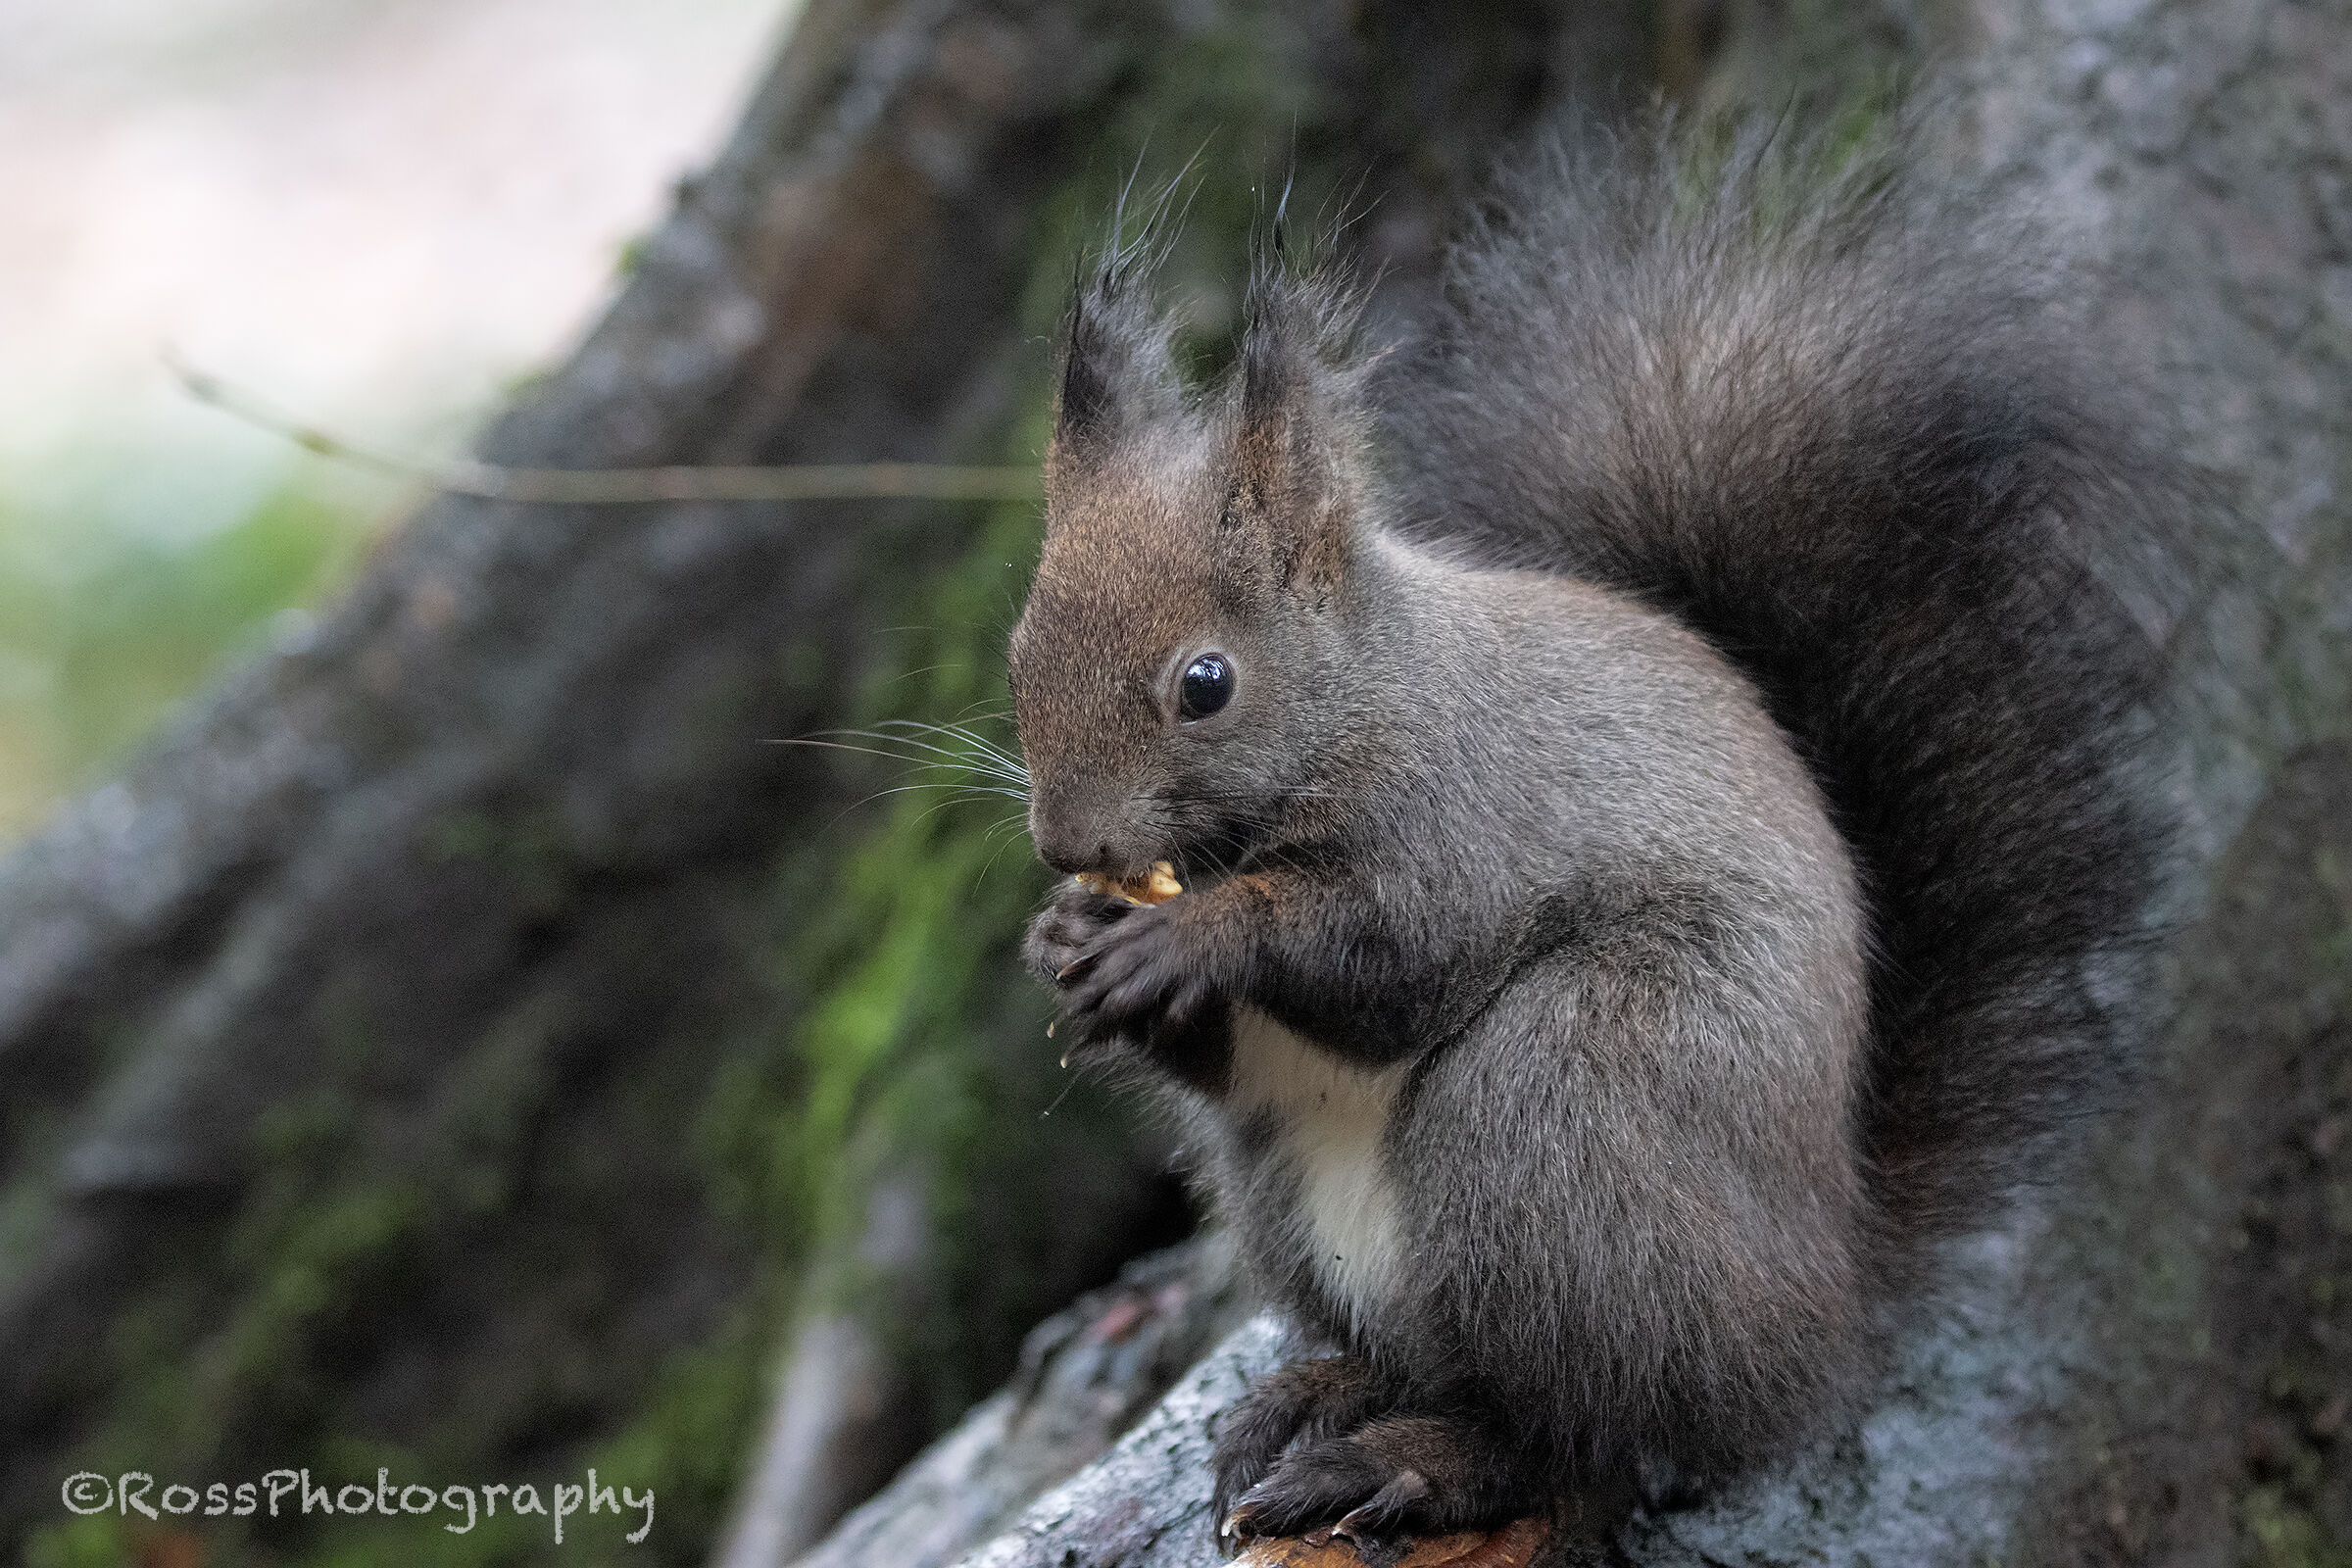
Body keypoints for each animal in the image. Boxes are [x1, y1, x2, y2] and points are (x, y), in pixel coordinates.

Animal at [1007, 127, 2178, 1545]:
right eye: (1017, 649)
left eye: (1206, 683)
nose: (1069, 845)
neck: (1369, 700)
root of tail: (1823, 1310)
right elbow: (1230, 1060)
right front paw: (1066, 942)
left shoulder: (1473, 816)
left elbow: (1392, 958)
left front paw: (1184, 941)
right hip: (1299, 1202)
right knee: (1443, 1362)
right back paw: (1321, 1396)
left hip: (1561, 1112)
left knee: (1586, 1432)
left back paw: (1407, 1464)